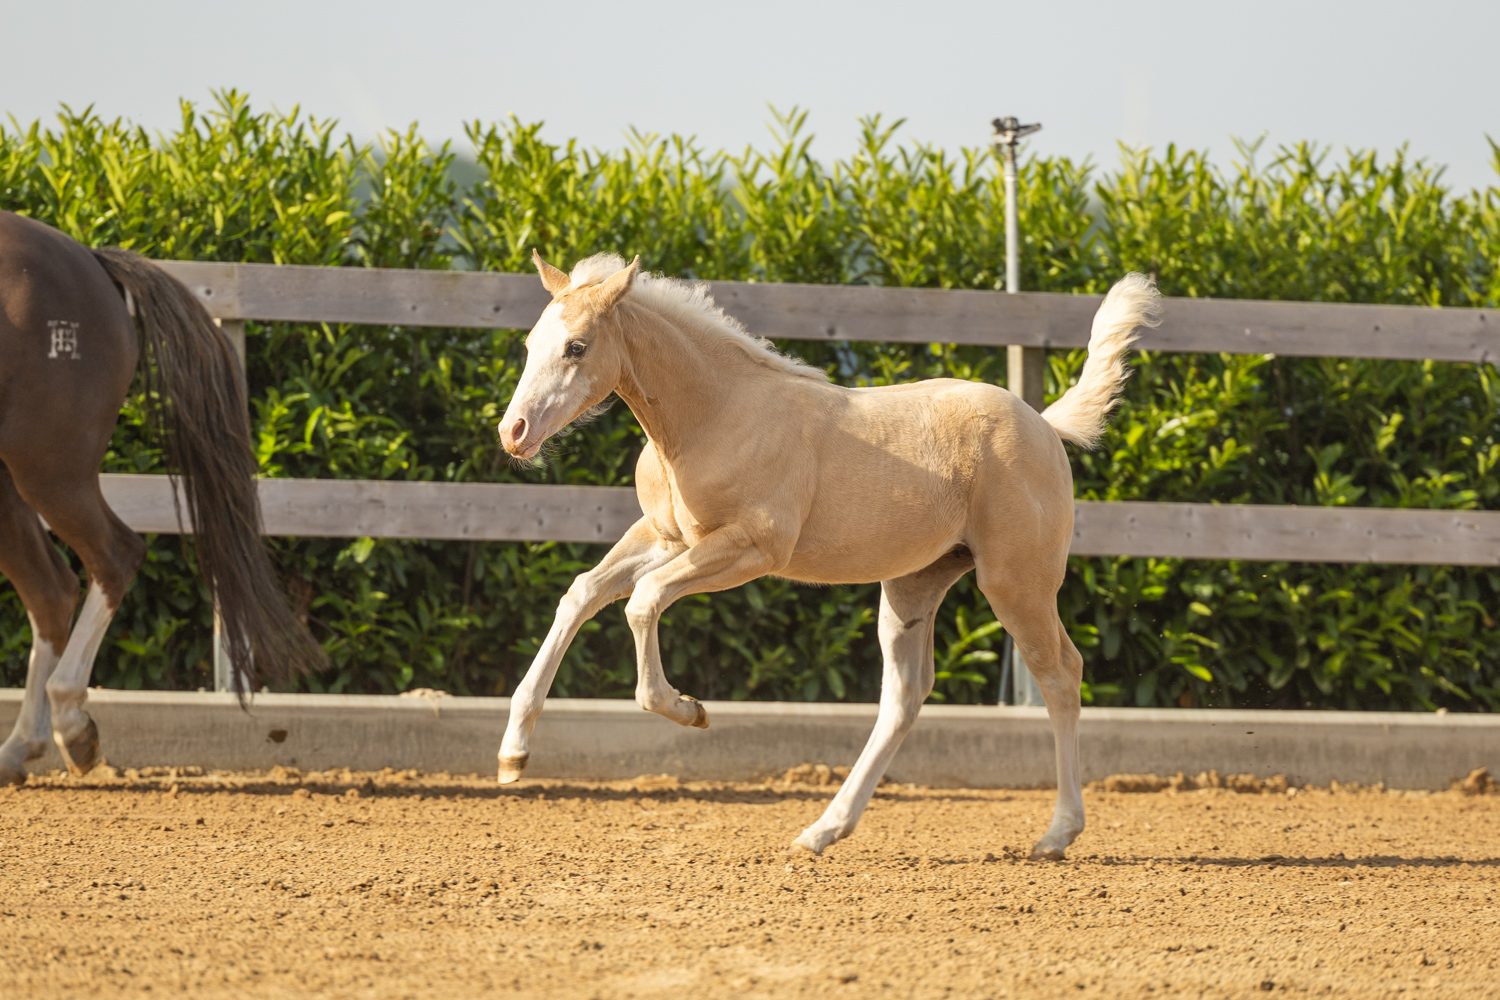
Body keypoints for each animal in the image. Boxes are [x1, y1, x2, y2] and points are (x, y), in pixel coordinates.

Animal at [0, 211, 324, 785]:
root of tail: (90, 262)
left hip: (49, 466)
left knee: (111, 557)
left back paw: (72, 728)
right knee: (50, 588)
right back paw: (21, 747)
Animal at [494, 251, 1160, 860]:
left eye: (576, 347)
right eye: (530, 344)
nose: (514, 433)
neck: (715, 415)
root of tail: (1045, 427)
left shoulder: (750, 548)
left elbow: (643, 601)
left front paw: (688, 709)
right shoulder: (665, 537)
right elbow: (582, 592)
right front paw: (513, 756)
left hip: (1017, 583)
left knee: (1061, 674)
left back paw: (1056, 834)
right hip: (914, 587)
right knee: (904, 696)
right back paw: (823, 830)